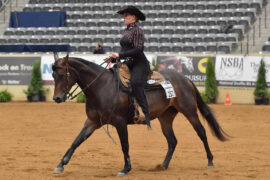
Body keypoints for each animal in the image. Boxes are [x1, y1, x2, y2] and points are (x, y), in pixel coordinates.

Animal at [52, 52, 228, 176]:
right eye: (53, 75)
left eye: (62, 74)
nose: (57, 98)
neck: (103, 87)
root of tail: (185, 79)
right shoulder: (92, 122)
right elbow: (76, 141)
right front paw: (60, 165)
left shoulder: (120, 122)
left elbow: (125, 145)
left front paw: (126, 168)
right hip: (166, 117)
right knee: (172, 141)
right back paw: (163, 165)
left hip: (189, 111)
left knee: (201, 132)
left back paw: (210, 161)